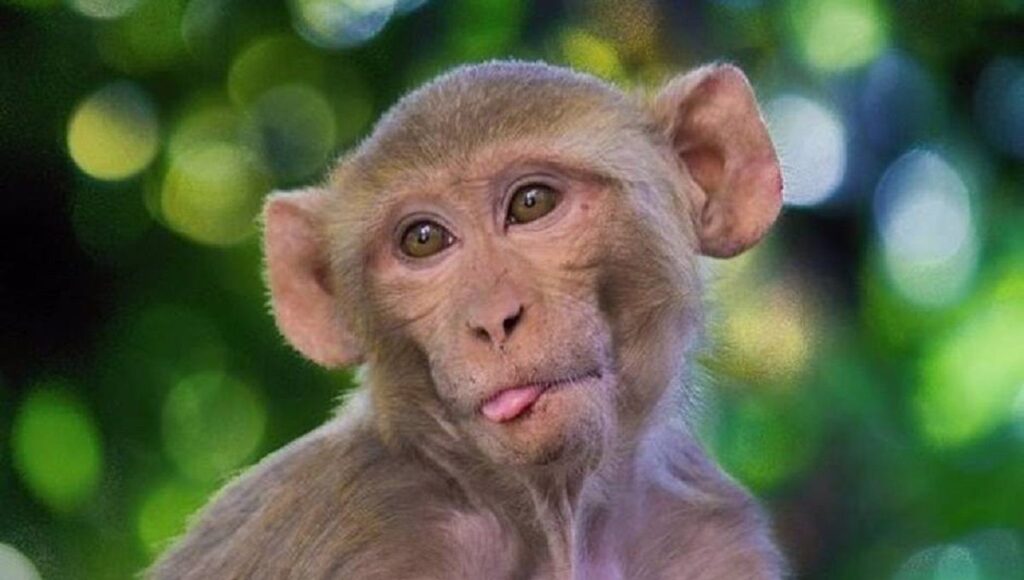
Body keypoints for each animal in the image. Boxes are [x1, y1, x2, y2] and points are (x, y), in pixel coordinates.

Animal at [150, 60, 785, 579]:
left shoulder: (713, 538)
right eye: (424, 239)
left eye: (531, 203)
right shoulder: (359, 526)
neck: (555, 519)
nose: (493, 319)